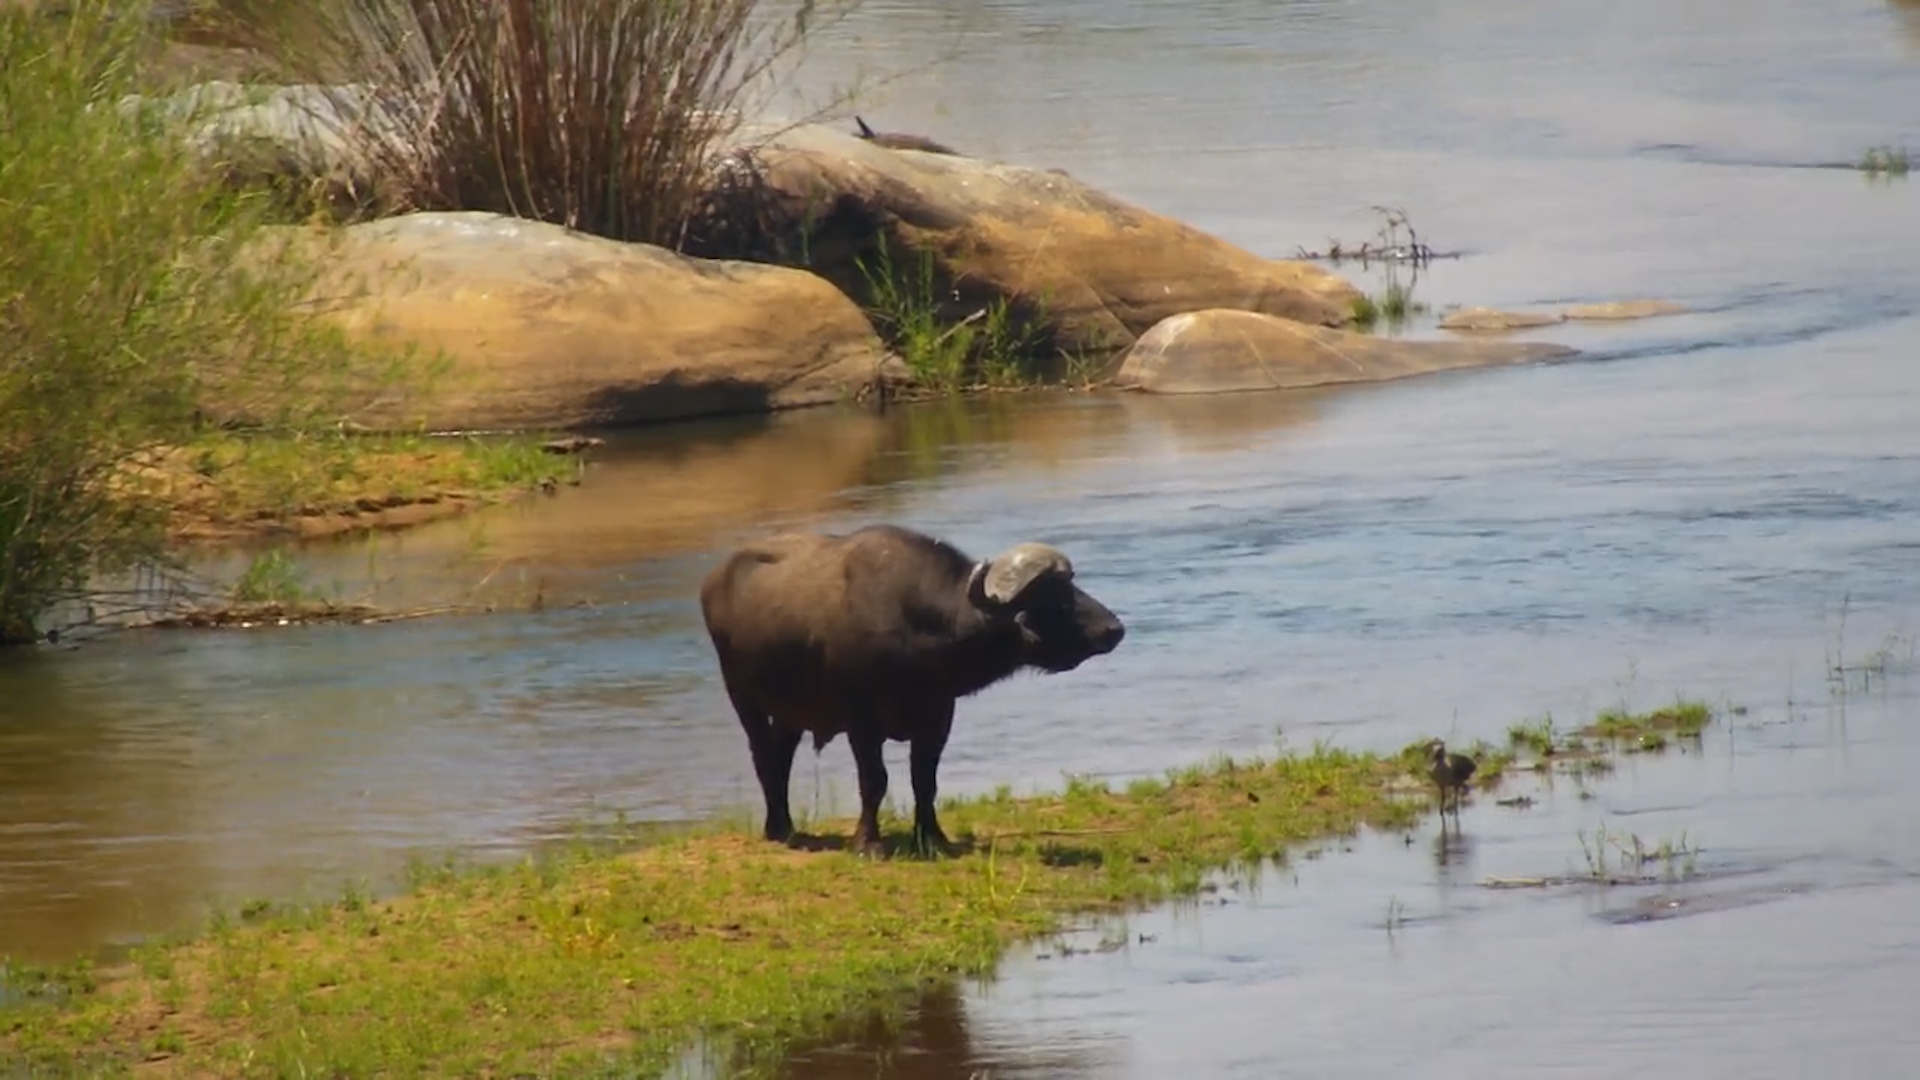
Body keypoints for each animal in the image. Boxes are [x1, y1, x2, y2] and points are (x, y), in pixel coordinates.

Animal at [698, 524, 1126, 858]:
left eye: (1072, 585)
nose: (1114, 629)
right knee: (763, 756)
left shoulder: (937, 718)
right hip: (743, 697)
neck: (919, 633)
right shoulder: (862, 723)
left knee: (781, 757)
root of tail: (714, 581)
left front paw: (933, 838)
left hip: (792, 712)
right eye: (1053, 597)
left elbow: (925, 781)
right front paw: (868, 843)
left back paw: (784, 824)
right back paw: (778, 827)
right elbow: (874, 781)